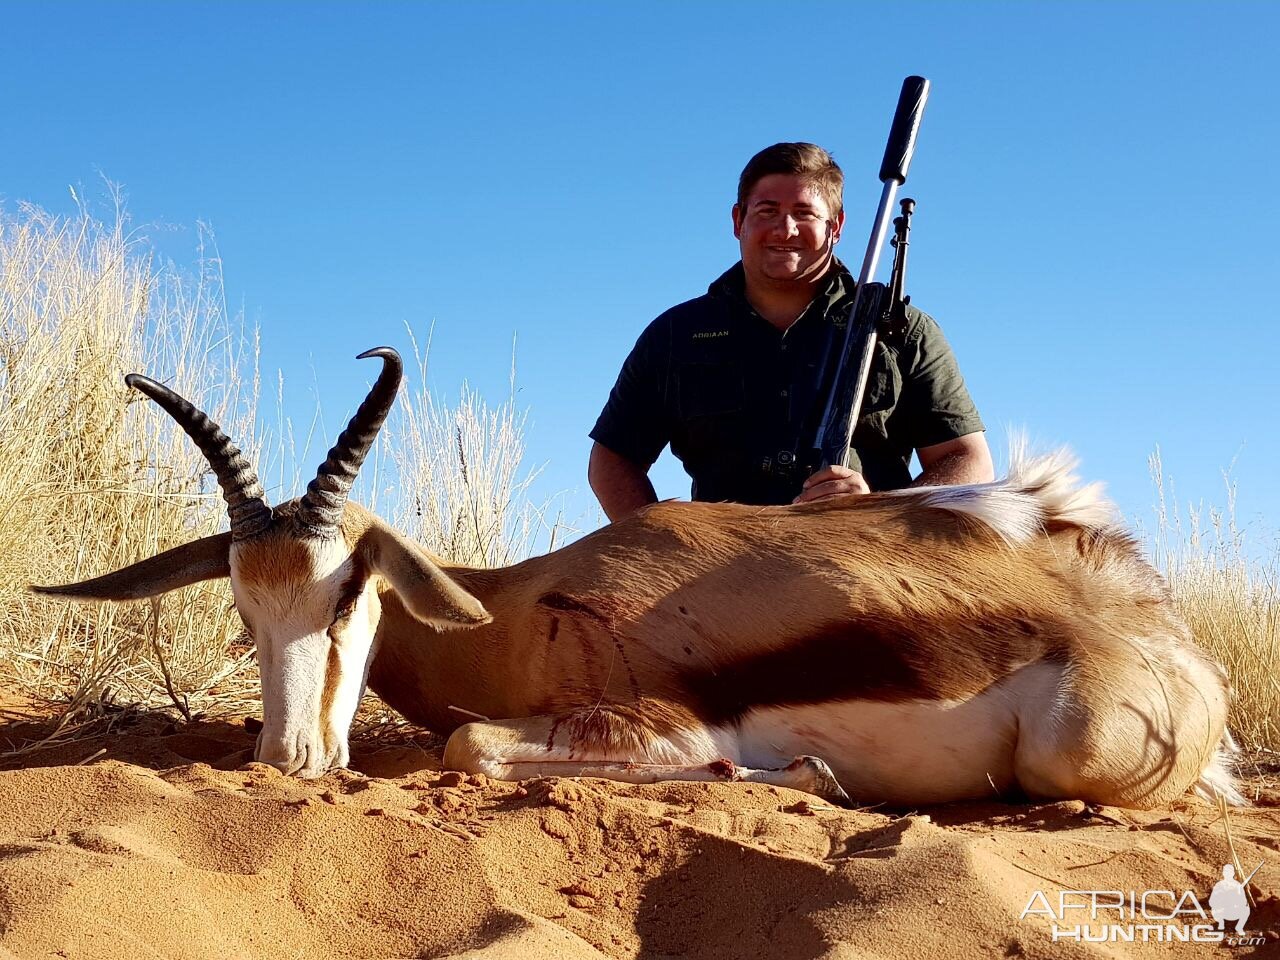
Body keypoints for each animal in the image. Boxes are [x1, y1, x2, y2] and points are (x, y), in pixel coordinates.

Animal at [35, 350, 1239, 808]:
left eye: (349, 595)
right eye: (243, 607)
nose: (290, 761)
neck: (519, 606)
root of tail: (1151, 616)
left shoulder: (655, 722)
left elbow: (472, 747)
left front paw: (803, 773)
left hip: (1069, 748)